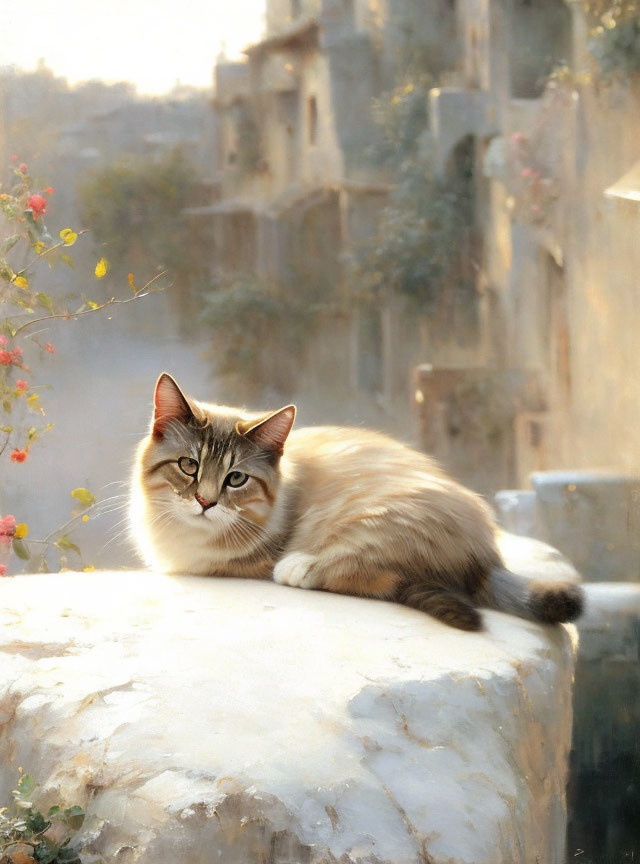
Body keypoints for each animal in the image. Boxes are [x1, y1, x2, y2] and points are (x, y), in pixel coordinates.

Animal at [131, 374, 584, 632]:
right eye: (189, 466)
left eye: (236, 478)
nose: (205, 501)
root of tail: (487, 557)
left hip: (376, 519)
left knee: (375, 575)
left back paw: (300, 568)